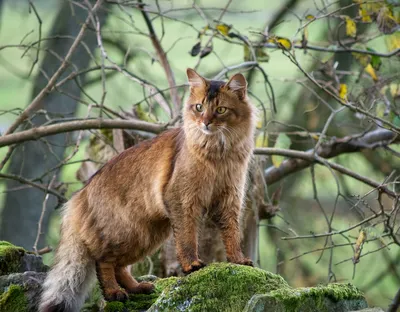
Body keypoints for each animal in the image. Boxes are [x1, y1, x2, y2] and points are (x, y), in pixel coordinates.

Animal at [39, 69, 256, 312]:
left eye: (220, 110)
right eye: (199, 107)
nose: (206, 123)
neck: (218, 152)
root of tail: (80, 195)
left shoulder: (229, 200)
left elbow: (232, 234)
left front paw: (238, 260)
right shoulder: (183, 200)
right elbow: (188, 239)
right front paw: (192, 265)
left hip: (146, 235)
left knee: (119, 265)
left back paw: (136, 288)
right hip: (124, 233)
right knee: (103, 261)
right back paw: (114, 292)